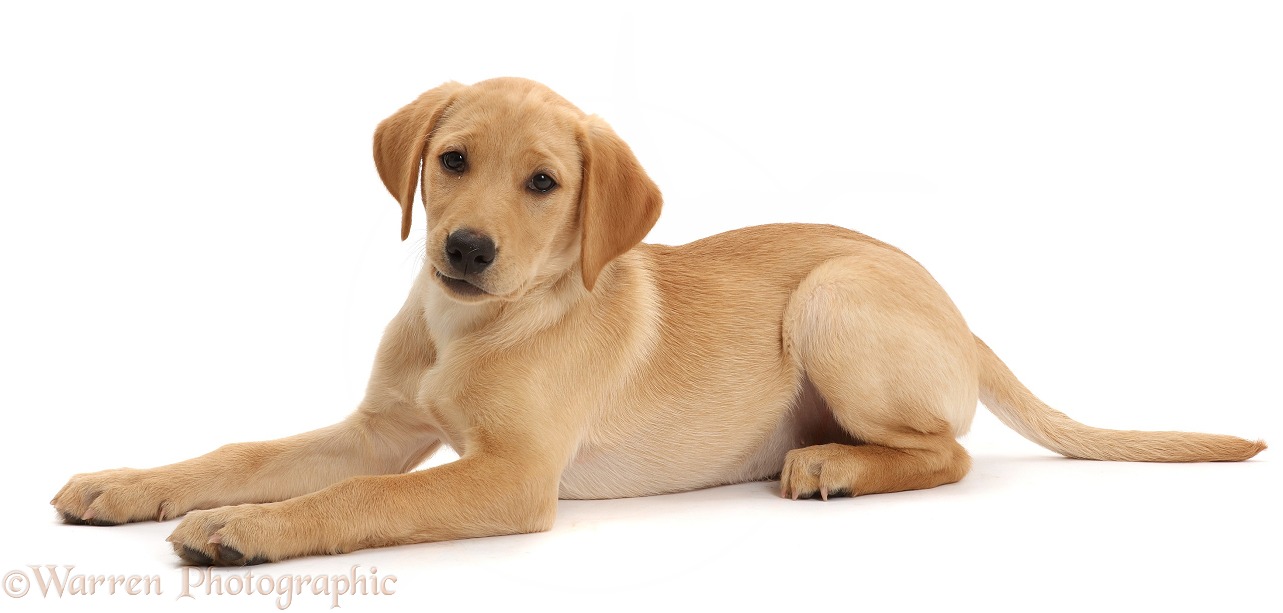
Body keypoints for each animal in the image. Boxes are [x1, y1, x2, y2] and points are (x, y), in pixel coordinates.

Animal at [50, 78, 1262, 566]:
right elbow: (249, 451)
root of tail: (959, 316)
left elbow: (359, 500)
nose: (466, 251)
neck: (467, 326)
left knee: (950, 450)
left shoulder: (510, 478)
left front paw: (246, 530)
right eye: (452, 161)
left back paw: (831, 464)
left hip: (833, 301)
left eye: (543, 183)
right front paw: (130, 483)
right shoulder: (378, 428)